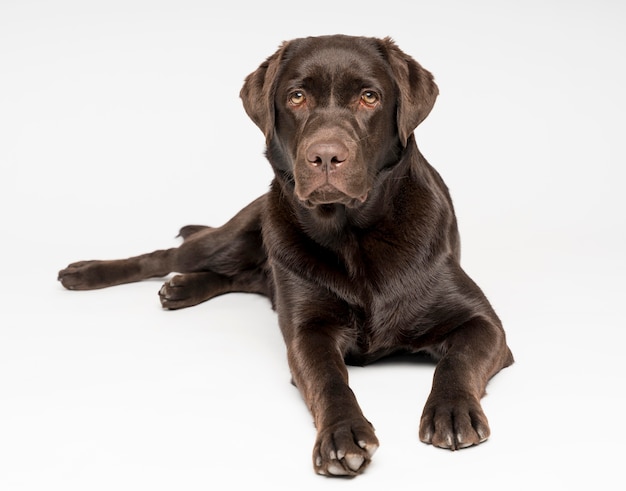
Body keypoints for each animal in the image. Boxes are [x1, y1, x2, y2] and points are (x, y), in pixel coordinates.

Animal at [57, 33, 512, 476]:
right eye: (296, 97)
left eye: (369, 96)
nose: (325, 156)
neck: (352, 235)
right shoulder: (306, 331)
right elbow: (329, 378)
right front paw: (343, 434)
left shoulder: (484, 324)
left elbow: (456, 360)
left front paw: (452, 411)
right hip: (240, 234)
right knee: (173, 255)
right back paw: (87, 272)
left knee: (240, 275)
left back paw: (180, 290)